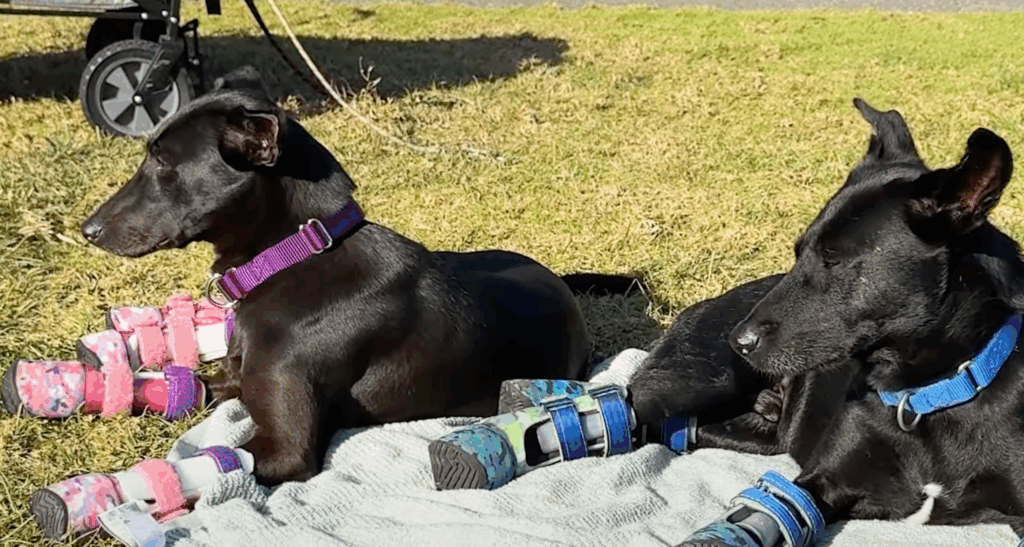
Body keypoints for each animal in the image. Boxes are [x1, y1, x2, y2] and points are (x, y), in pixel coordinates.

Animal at [80, 67, 633, 485]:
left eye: (163, 164)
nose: (88, 230)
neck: (294, 255)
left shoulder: (285, 449)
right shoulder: (233, 378)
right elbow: (180, 385)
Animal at [629, 98, 1024, 538]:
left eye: (833, 259)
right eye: (799, 251)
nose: (738, 341)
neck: (926, 397)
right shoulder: (817, 483)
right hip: (686, 386)